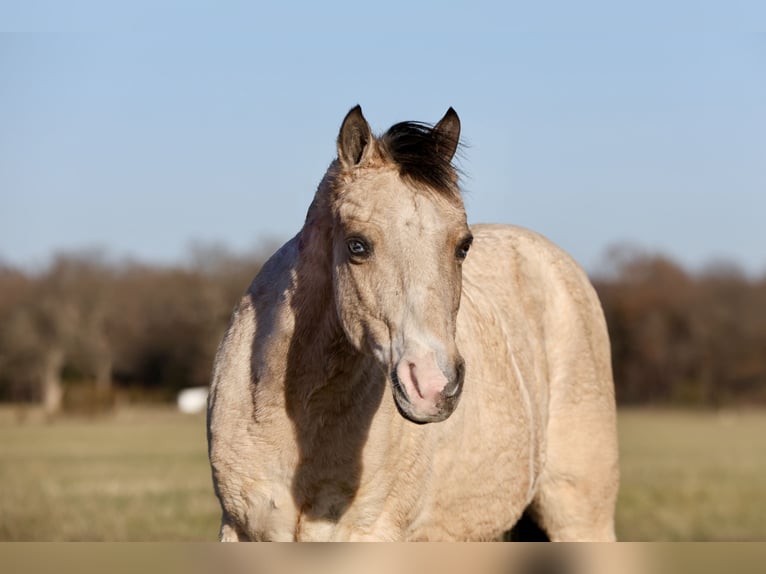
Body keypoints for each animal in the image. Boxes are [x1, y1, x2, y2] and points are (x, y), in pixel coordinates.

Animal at [207, 106, 620, 544]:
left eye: (463, 246)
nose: (432, 385)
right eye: (357, 245)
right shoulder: (239, 530)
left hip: (579, 519)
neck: (300, 414)